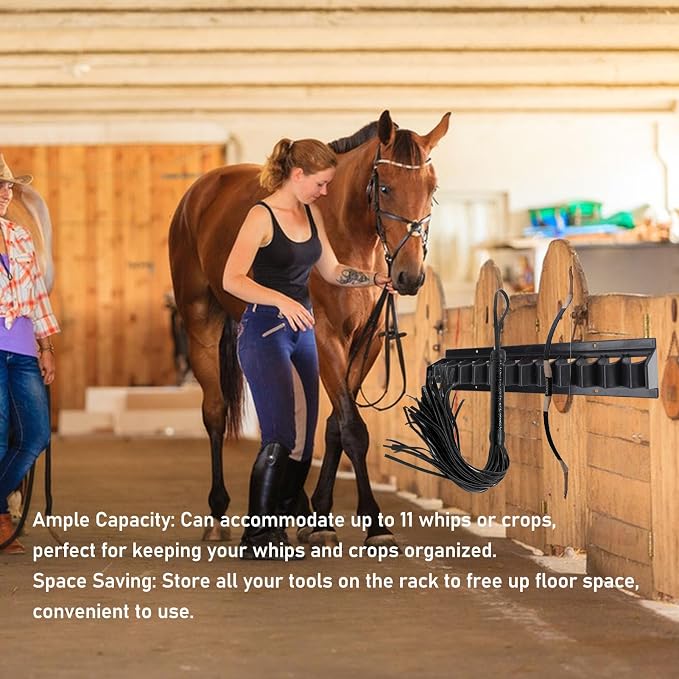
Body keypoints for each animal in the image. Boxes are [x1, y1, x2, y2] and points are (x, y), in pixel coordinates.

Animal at [169, 110, 450, 546]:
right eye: (385, 187)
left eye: (431, 189)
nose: (409, 276)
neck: (347, 233)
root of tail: (199, 193)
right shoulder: (325, 340)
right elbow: (353, 428)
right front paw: (374, 521)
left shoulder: (365, 343)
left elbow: (334, 425)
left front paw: (320, 515)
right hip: (201, 322)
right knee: (215, 412)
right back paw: (218, 513)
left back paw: (294, 507)